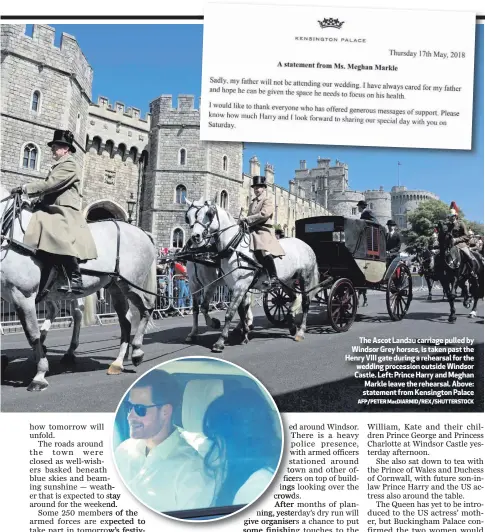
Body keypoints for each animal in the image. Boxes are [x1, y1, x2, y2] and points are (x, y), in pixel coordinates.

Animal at [0, 187, 156, 390]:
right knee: (125, 321)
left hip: (131, 284)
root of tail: (142, 233)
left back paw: (136, 351)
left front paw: (40, 374)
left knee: (146, 308)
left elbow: (32, 334)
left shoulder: (23, 295)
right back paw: (118, 362)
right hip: (115, 287)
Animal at [183, 200, 320, 354]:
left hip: (304, 278)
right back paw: (290, 324)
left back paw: (301, 331)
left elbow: (228, 312)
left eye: (209, 214)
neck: (234, 247)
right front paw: (243, 334)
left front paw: (220, 340)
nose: (195, 236)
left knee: (305, 302)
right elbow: (205, 308)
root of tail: (305, 245)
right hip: (287, 281)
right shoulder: (216, 285)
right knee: (294, 297)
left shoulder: (231, 284)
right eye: (189, 217)